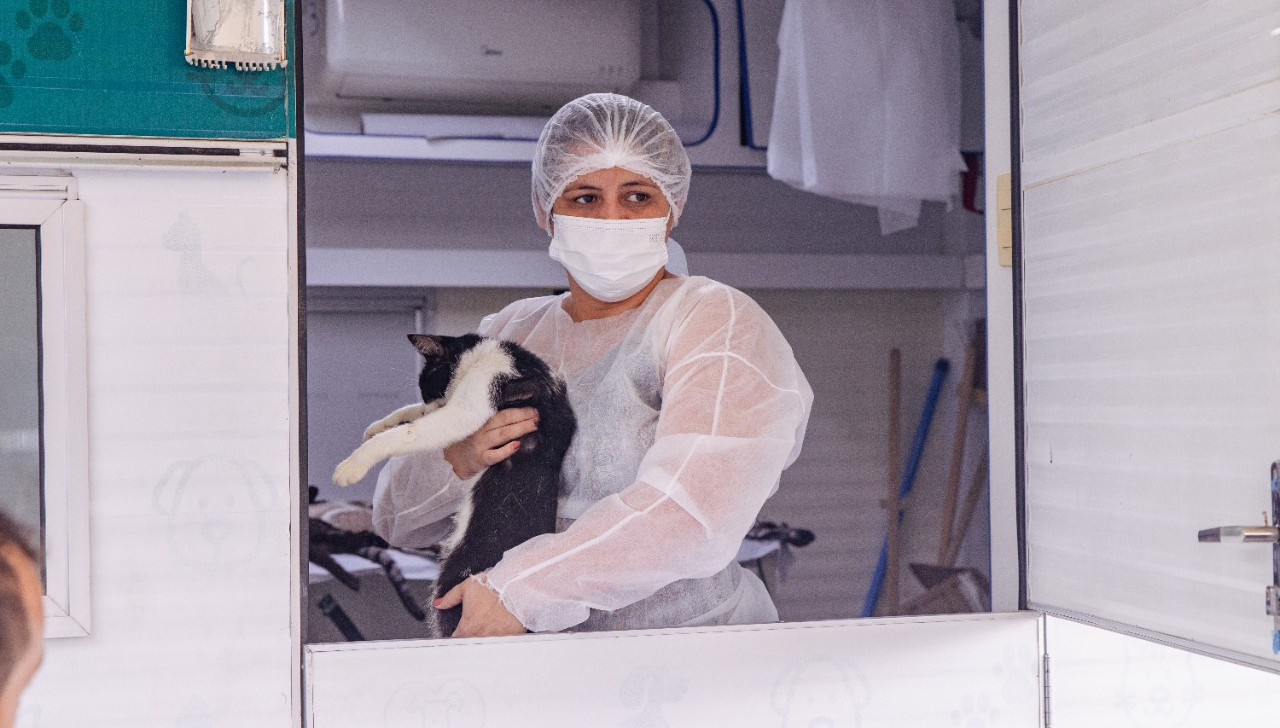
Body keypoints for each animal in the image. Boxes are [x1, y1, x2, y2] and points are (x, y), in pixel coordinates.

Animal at [330, 332, 576, 632]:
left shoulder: (473, 401)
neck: (486, 354)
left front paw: (352, 465)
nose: (428, 409)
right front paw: (380, 425)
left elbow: (410, 433)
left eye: (430, 388)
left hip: (454, 580)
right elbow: (410, 417)